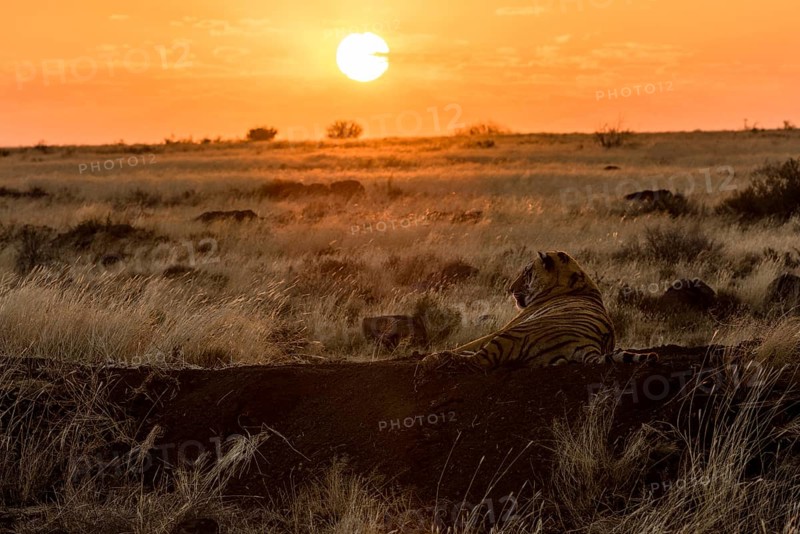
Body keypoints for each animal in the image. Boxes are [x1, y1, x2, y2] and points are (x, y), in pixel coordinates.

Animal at [420, 251, 657, 372]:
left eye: (527, 273)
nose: (509, 289)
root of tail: (589, 346)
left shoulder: (507, 326)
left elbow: (471, 343)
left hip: (513, 334)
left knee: (478, 360)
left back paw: (434, 358)